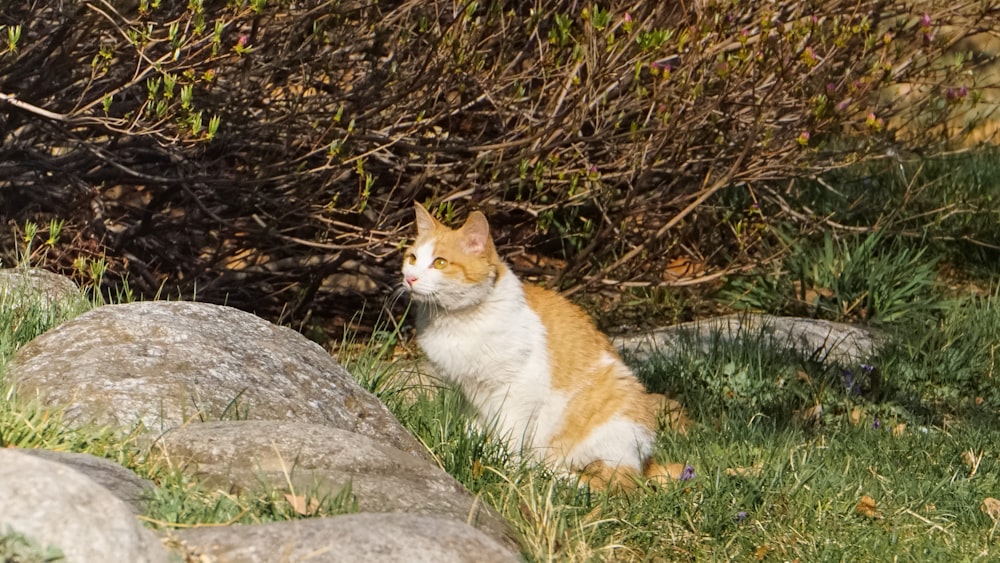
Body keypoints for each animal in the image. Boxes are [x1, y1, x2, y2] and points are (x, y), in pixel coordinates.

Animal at [400, 204, 688, 490]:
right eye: (412, 258)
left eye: (440, 262)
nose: (410, 278)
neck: (455, 321)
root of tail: (647, 462)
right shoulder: (465, 393)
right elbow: (474, 429)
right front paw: (472, 448)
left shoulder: (520, 388)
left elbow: (509, 436)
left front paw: (504, 466)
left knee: (611, 481)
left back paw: (546, 473)